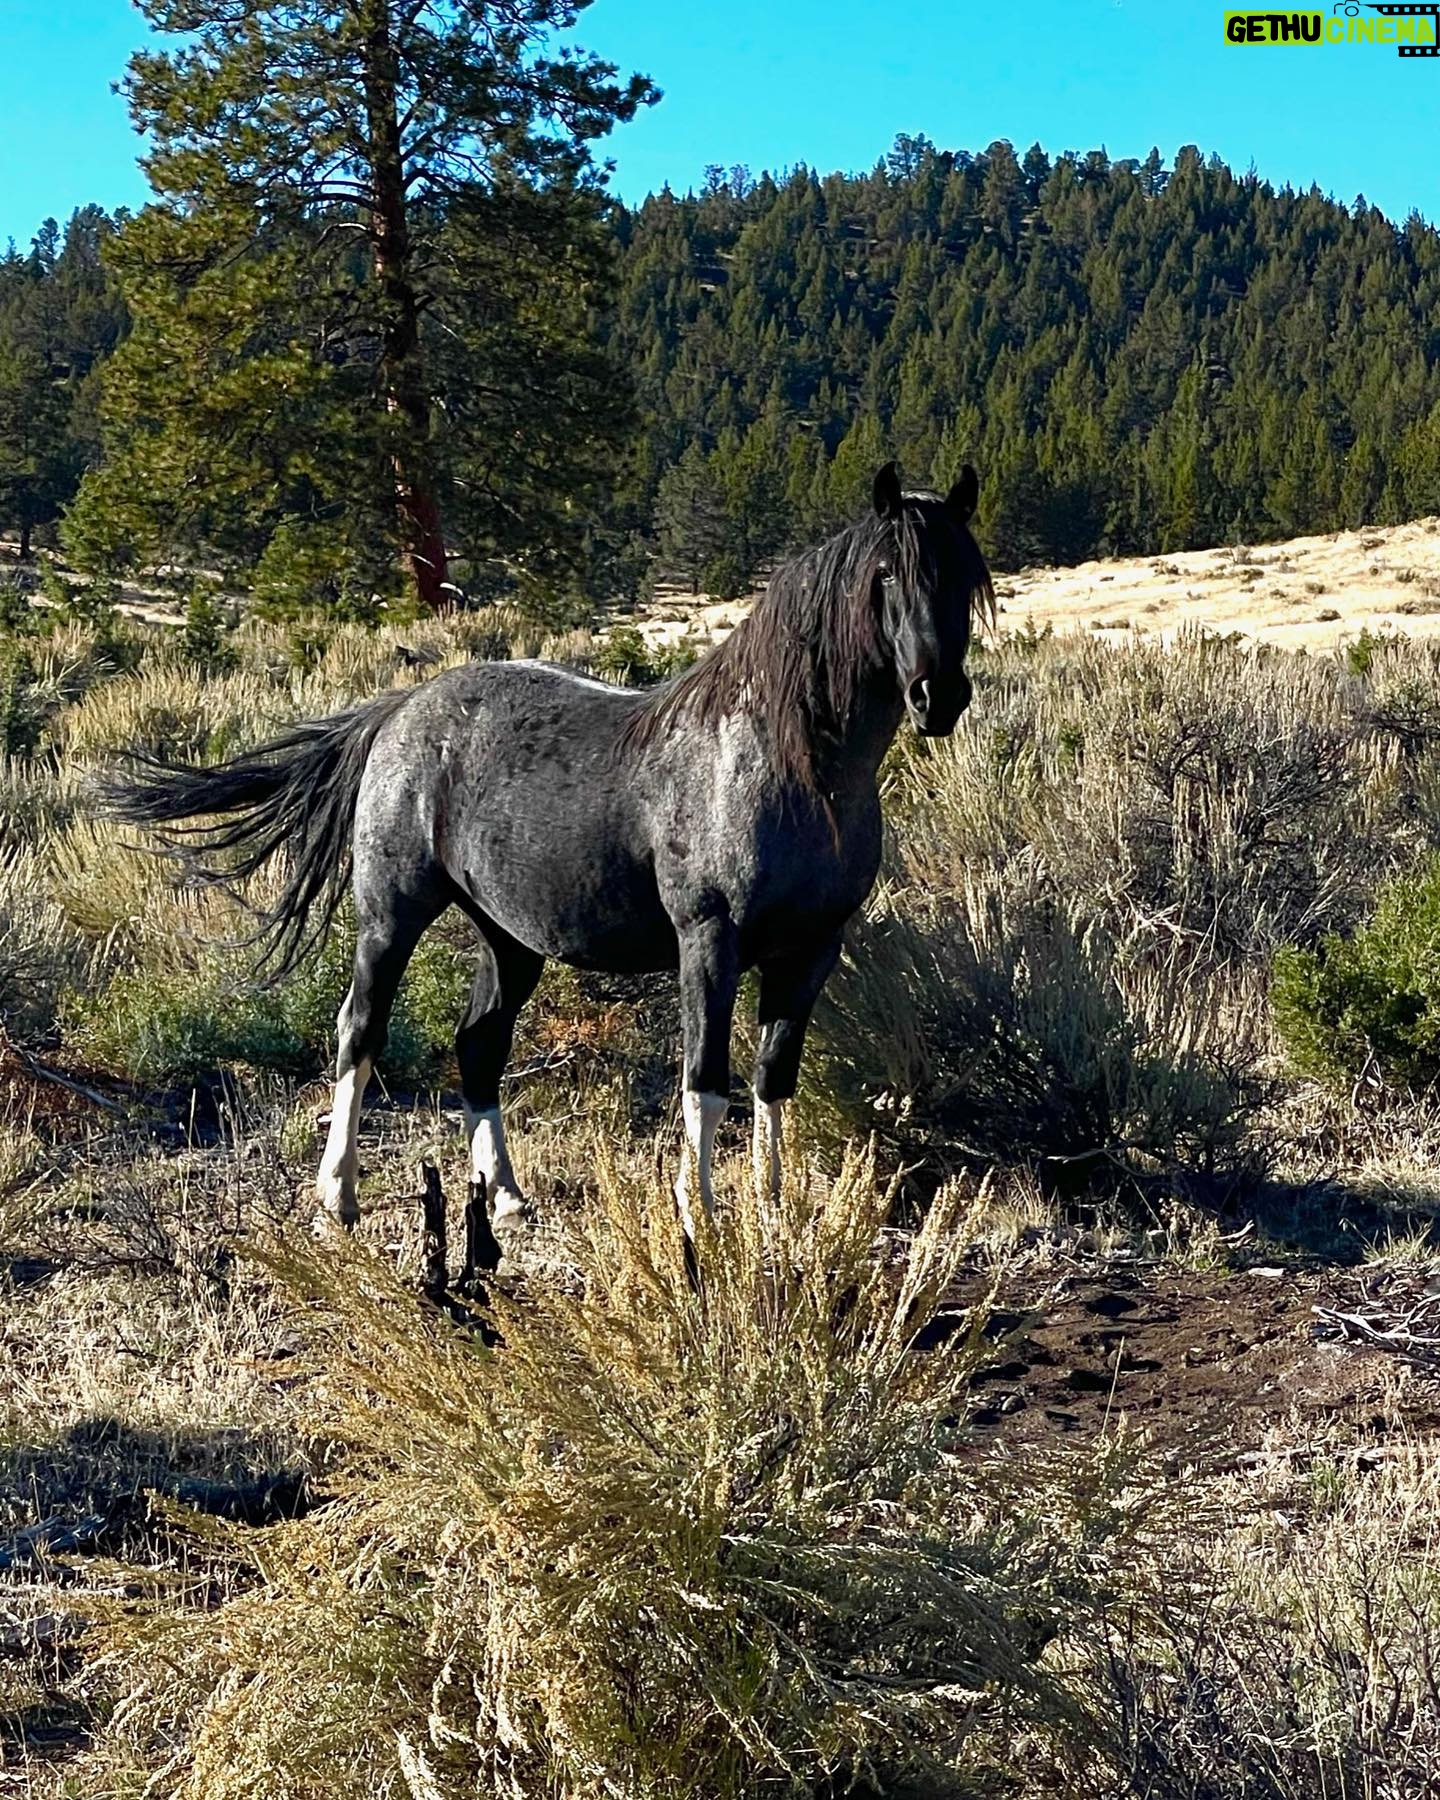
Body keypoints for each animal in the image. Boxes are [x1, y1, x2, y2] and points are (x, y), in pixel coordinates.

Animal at [105, 461, 994, 1255]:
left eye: (965, 579)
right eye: (887, 574)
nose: (938, 697)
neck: (779, 761)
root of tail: (400, 710)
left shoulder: (811, 952)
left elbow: (775, 1079)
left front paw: (777, 1215)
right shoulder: (709, 942)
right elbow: (705, 1084)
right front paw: (701, 1220)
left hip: (509, 939)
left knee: (478, 1046)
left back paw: (504, 1196)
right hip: (390, 916)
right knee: (359, 1032)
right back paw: (338, 1198)